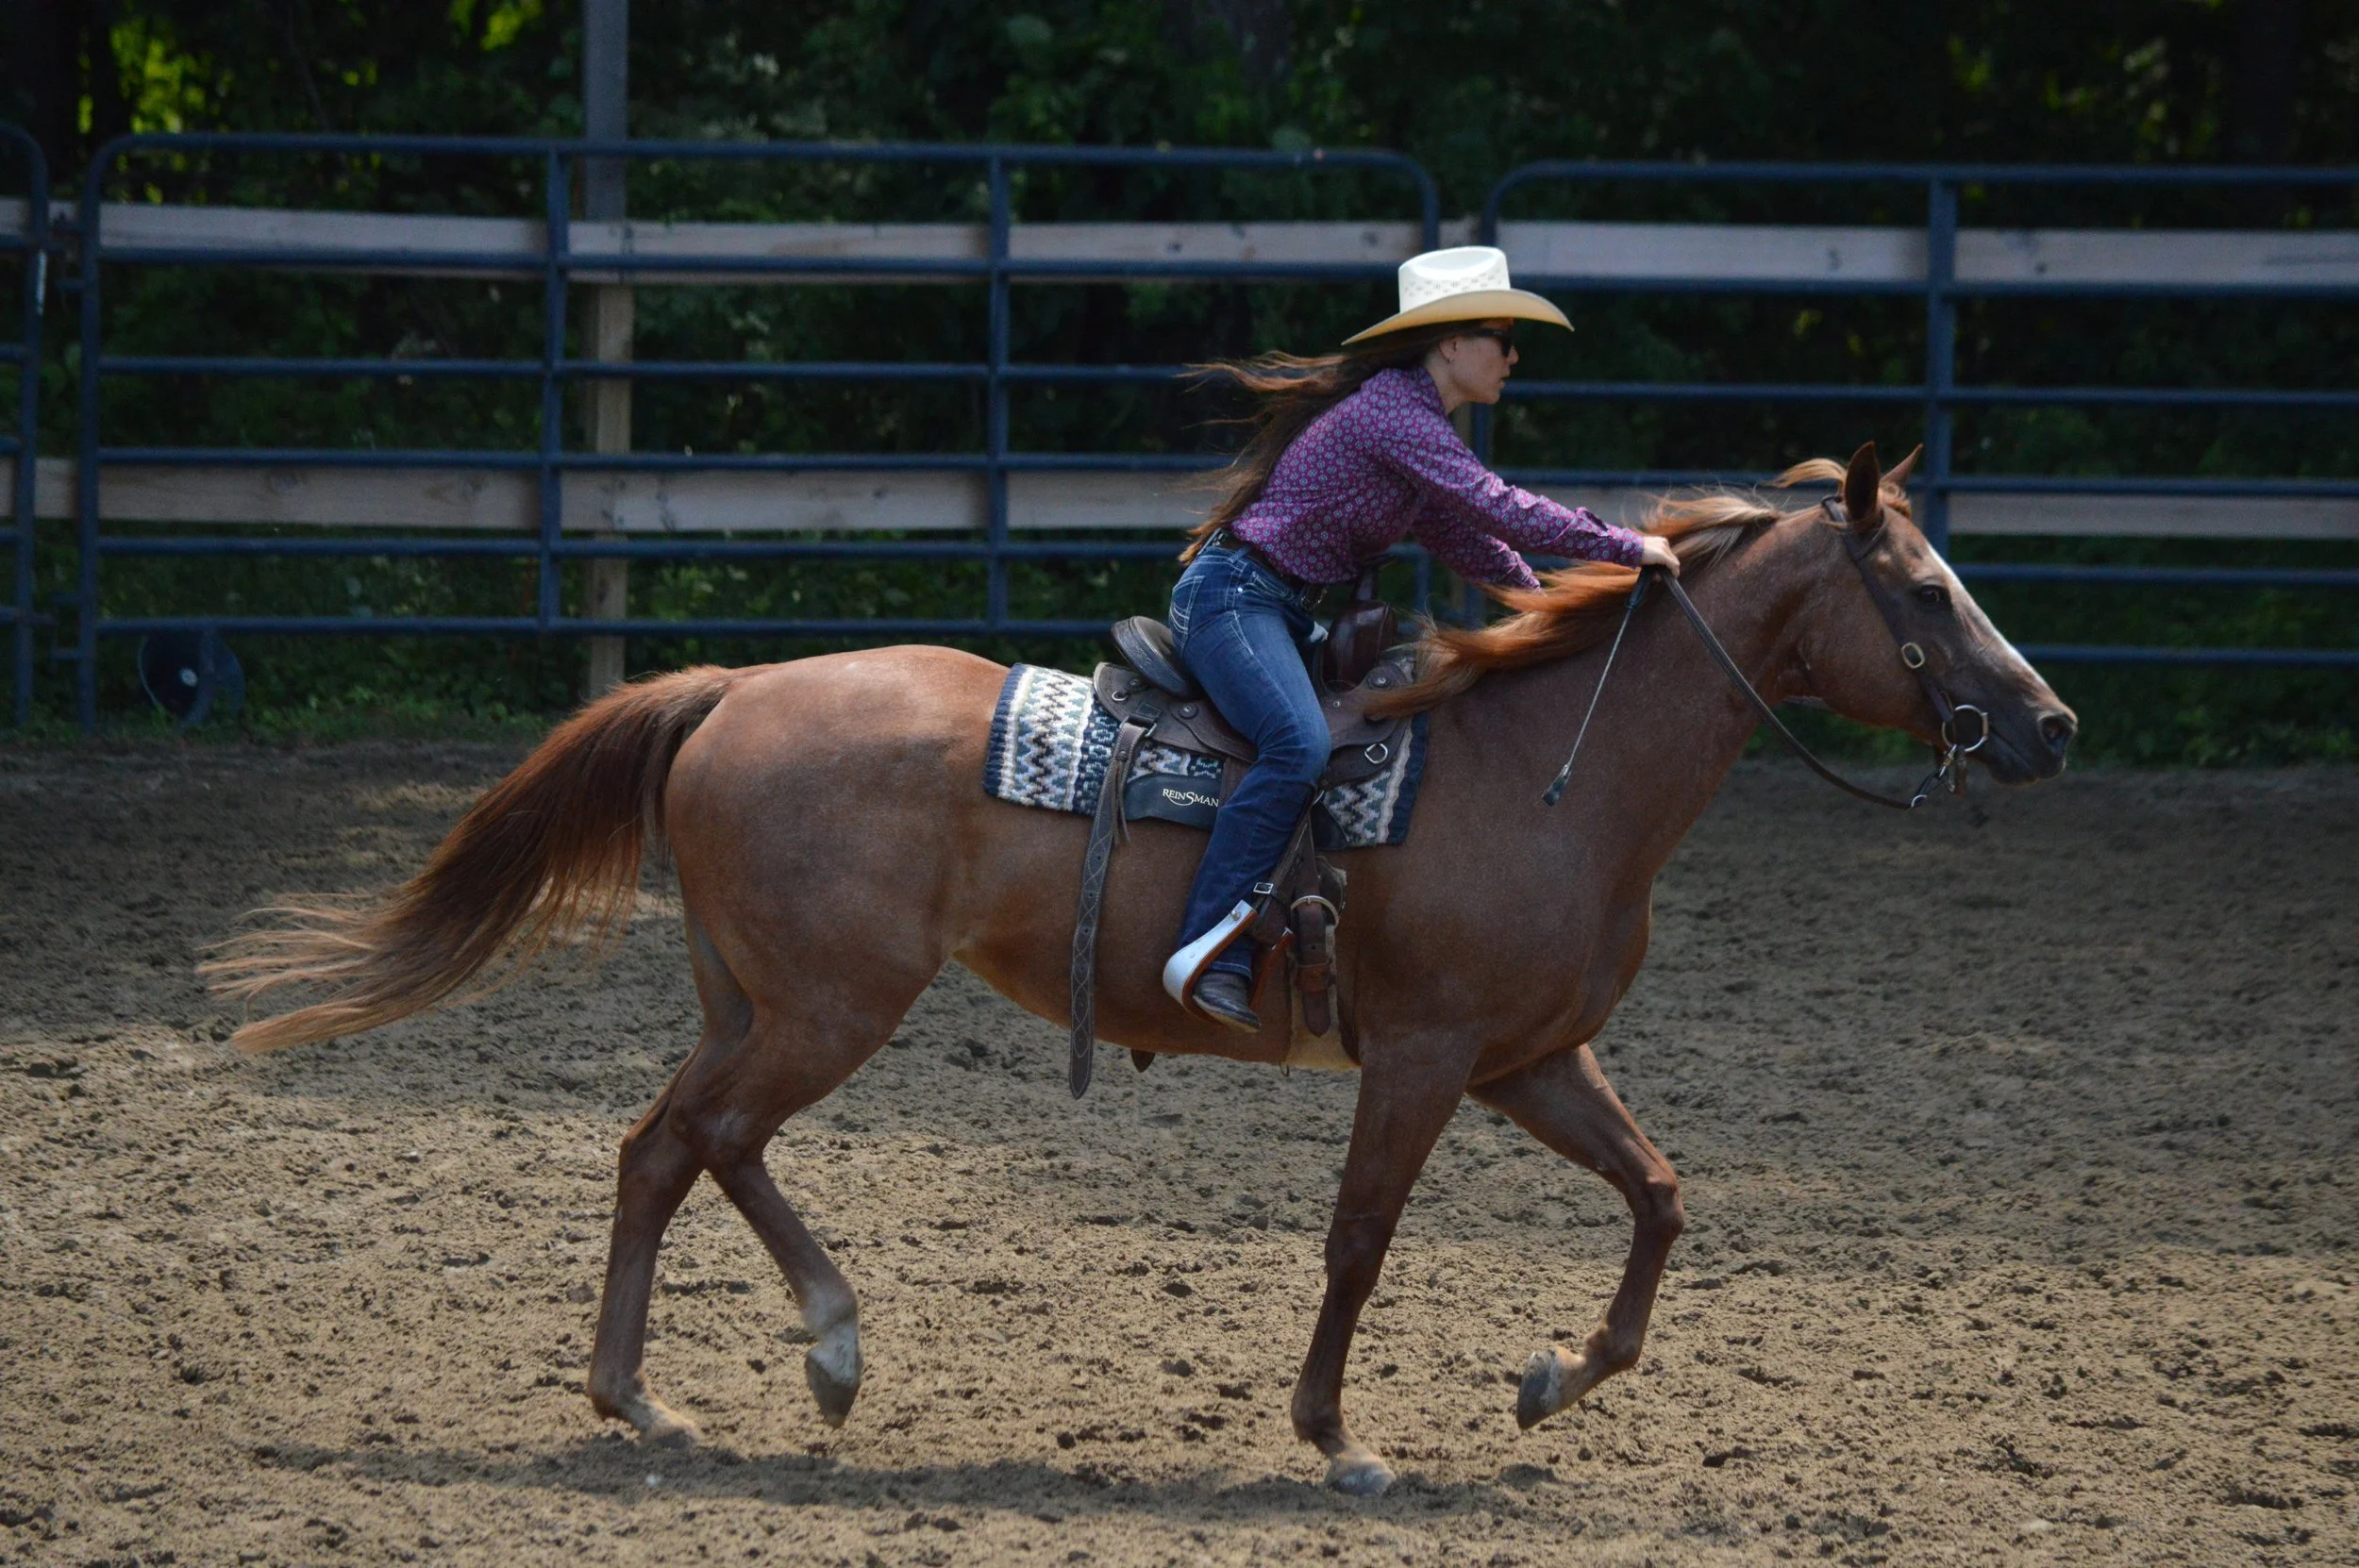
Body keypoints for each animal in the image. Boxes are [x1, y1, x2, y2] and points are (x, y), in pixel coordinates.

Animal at [207, 441, 2075, 1496]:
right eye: (1924, 587)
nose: (2049, 723)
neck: (1553, 769)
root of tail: (731, 688)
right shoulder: (1424, 1059)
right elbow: (1358, 1236)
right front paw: (1339, 1440)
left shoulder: (1528, 1059)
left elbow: (1663, 1191)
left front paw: (1552, 1379)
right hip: (827, 1005)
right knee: (686, 1142)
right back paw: (717, 1383)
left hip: (758, 998)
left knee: (685, 1145)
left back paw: (751, 1369)